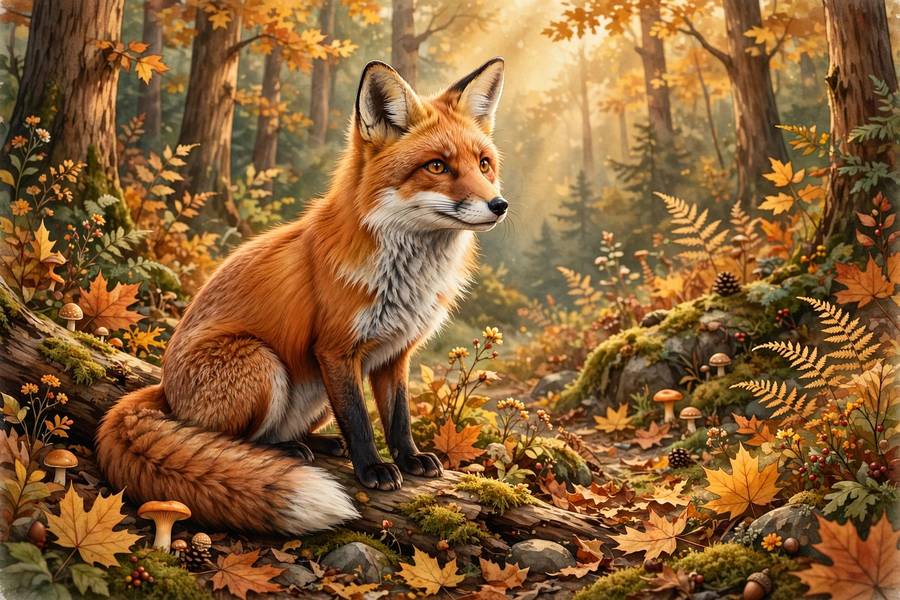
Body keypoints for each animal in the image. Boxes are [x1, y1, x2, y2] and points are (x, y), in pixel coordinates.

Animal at [96, 57, 508, 535]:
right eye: (438, 166)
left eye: (484, 164)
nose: (499, 205)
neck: (405, 277)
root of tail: (163, 389)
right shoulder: (335, 348)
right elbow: (360, 420)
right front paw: (373, 469)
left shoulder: (395, 353)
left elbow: (398, 416)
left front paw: (409, 458)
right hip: (261, 363)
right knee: (229, 438)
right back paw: (285, 453)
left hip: (313, 395)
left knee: (284, 430)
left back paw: (316, 444)